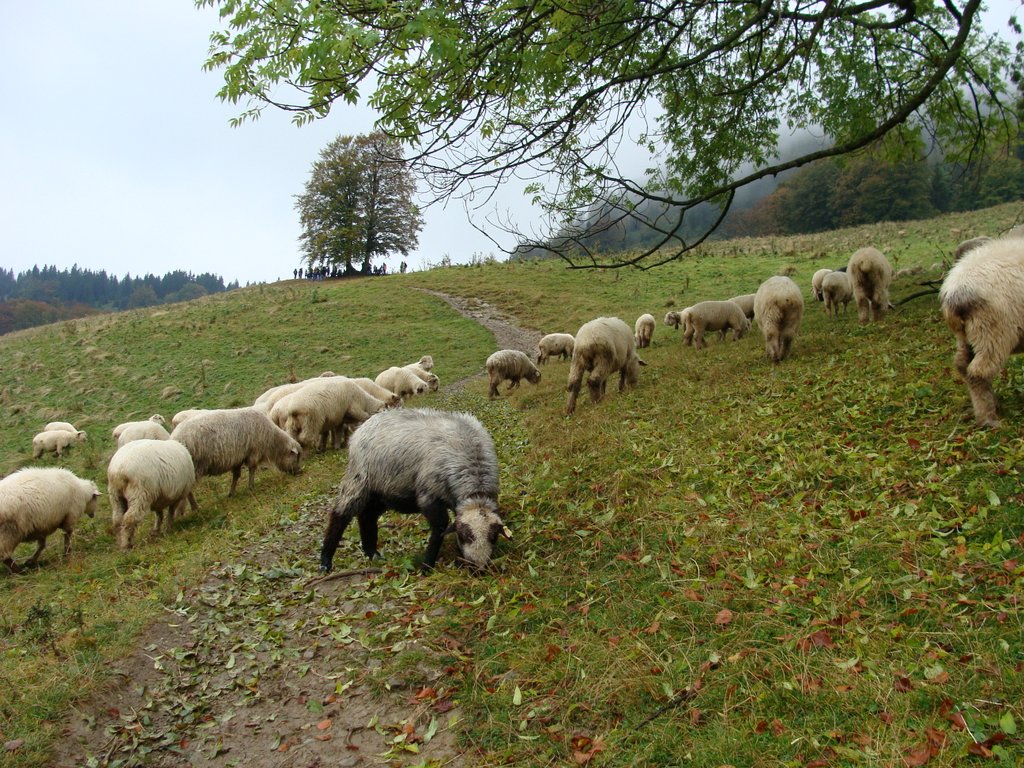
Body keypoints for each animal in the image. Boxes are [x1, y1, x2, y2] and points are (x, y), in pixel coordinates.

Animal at [170, 408, 302, 496]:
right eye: (296, 457)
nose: (299, 471)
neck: (272, 440)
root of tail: (174, 437)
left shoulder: (238, 457)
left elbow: (236, 475)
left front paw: (231, 493)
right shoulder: (254, 451)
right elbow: (252, 469)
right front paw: (251, 486)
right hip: (194, 466)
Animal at [319, 408, 510, 573]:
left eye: (493, 537)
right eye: (464, 536)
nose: (477, 568)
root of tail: (365, 424)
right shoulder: (428, 495)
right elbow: (441, 526)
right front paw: (427, 566)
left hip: (382, 492)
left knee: (367, 516)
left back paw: (373, 554)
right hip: (358, 479)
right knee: (340, 515)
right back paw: (326, 562)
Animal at [939, 237, 1024, 428]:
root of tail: (954, 294)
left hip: (967, 336)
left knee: (962, 365)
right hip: (993, 331)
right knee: (978, 372)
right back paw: (988, 418)